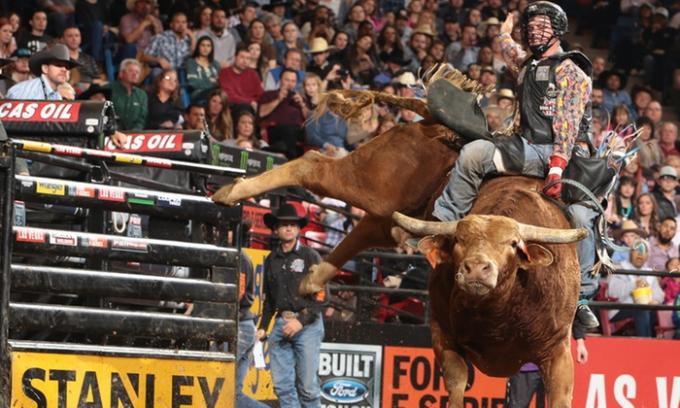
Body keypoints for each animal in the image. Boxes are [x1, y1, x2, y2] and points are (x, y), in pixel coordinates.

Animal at [394, 178, 584, 408]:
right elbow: (456, 383)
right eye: (458, 240)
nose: (476, 268)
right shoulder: (442, 333)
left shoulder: (558, 350)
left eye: (513, 243)